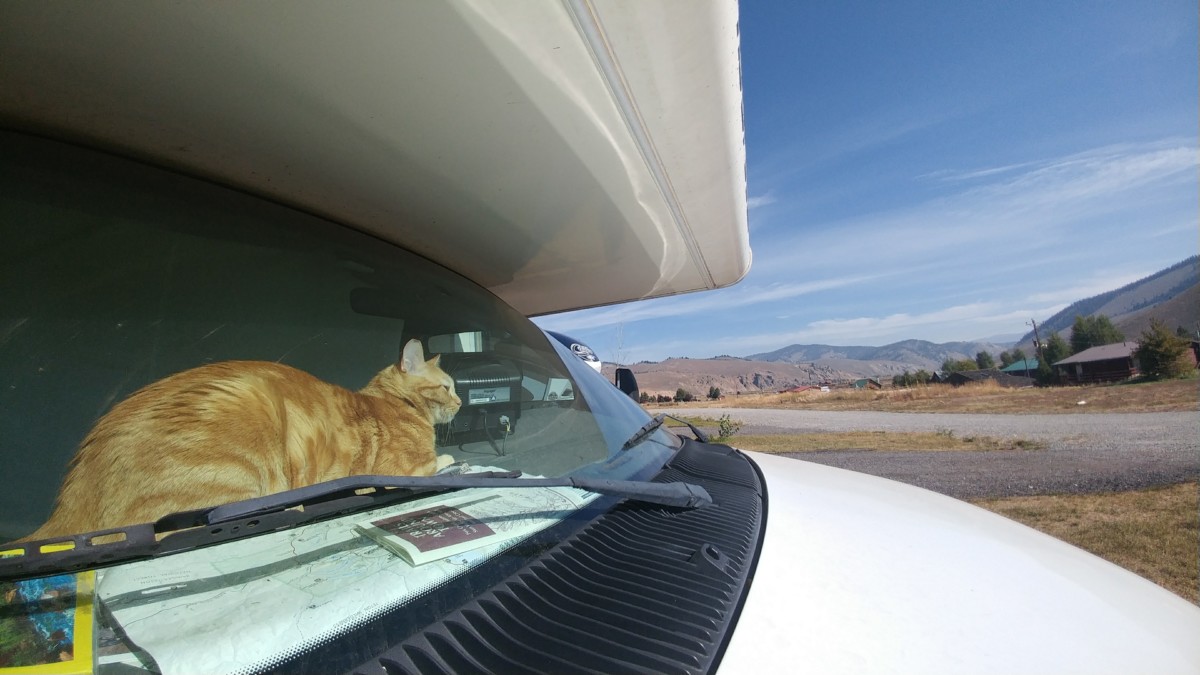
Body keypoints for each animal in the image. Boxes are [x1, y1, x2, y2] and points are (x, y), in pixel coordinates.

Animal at [19, 338, 458, 538]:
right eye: (448, 386)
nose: (460, 401)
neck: (396, 402)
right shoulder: (404, 467)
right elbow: (439, 462)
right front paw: (453, 460)